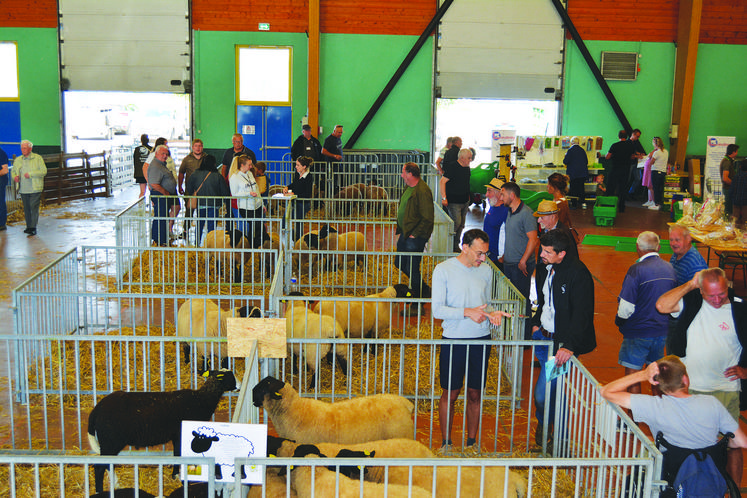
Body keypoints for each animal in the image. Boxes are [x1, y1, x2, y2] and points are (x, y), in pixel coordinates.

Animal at [87, 368, 240, 492]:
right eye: (230, 376)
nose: (238, 386)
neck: (202, 400)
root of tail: (96, 409)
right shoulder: (180, 434)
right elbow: (179, 455)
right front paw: (179, 478)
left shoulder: (176, 436)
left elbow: (176, 454)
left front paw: (175, 476)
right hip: (110, 441)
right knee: (99, 467)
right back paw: (99, 491)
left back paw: (116, 484)